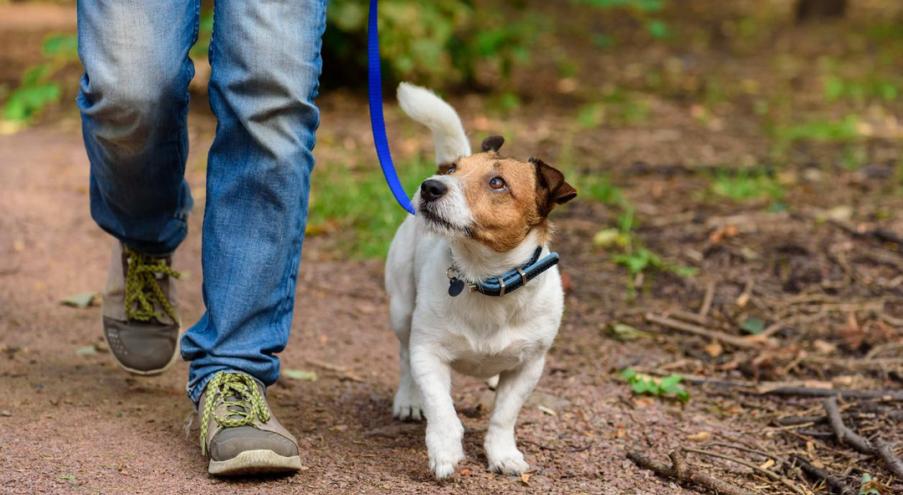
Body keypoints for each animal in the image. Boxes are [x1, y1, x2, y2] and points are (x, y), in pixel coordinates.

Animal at [384, 82, 576, 480]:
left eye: (497, 183)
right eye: (453, 170)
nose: (430, 186)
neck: (484, 278)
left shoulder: (528, 366)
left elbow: (504, 415)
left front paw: (503, 453)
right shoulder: (428, 352)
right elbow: (441, 408)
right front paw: (444, 450)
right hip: (401, 309)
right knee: (404, 358)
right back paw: (409, 399)